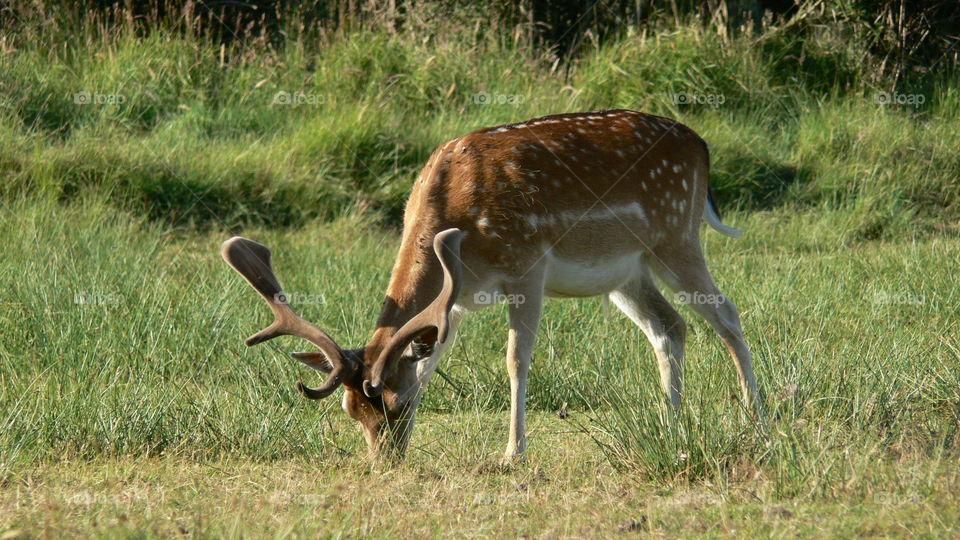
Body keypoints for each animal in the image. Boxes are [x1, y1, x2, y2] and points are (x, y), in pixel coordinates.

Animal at [221, 109, 761, 462]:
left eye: (396, 405)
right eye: (352, 411)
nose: (384, 462)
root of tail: (702, 147)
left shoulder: (526, 267)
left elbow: (516, 360)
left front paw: (512, 452)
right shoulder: (455, 301)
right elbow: (432, 359)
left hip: (676, 236)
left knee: (727, 314)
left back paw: (760, 424)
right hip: (626, 273)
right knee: (670, 326)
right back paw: (672, 430)